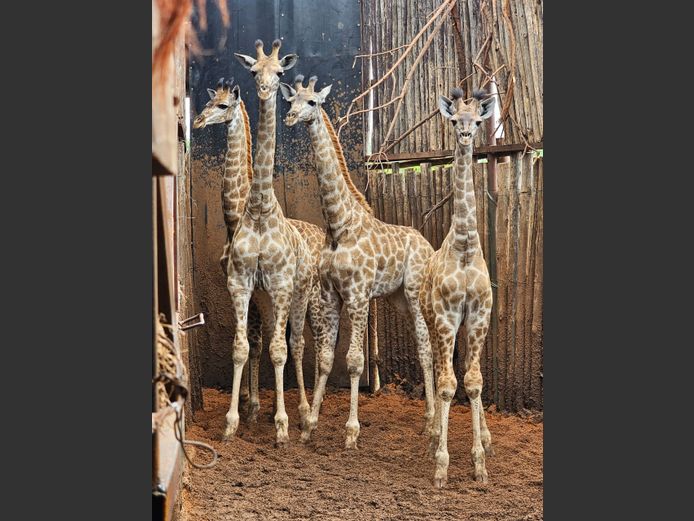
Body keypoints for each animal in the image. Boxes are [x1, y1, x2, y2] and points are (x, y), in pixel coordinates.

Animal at [281, 76, 436, 449]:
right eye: (290, 101)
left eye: (313, 102)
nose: (290, 118)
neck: (339, 224)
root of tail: (428, 245)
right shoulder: (330, 294)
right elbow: (325, 359)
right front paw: (309, 425)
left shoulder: (359, 293)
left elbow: (353, 361)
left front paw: (351, 432)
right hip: (397, 298)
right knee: (422, 344)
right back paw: (428, 420)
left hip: (414, 293)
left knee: (426, 347)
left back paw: (432, 424)